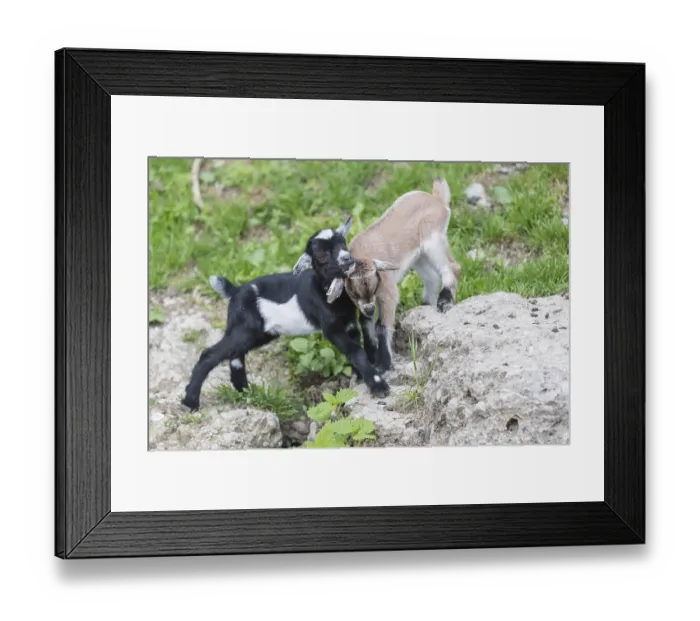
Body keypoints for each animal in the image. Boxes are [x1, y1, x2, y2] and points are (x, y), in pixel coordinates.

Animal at [181, 218, 390, 411]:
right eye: (322, 254)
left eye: (343, 244)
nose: (348, 259)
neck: (323, 289)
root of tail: (236, 291)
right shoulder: (332, 329)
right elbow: (356, 351)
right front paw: (378, 385)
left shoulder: (350, 324)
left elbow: (356, 350)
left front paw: (360, 376)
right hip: (246, 328)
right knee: (211, 354)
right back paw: (191, 401)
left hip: (258, 332)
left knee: (236, 355)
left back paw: (246, 392)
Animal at [323, 178, 462, 375]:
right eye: (353, 293)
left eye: (375, 286)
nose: (370, 310)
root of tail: (437, 198)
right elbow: (366, 324)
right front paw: (371, 358)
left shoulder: (387, 293)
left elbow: (381, 326)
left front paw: (383, 364)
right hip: (419, 257)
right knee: (432, 277)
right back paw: (426, 305)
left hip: (432, 240)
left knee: (451, 267)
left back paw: (445, 301)